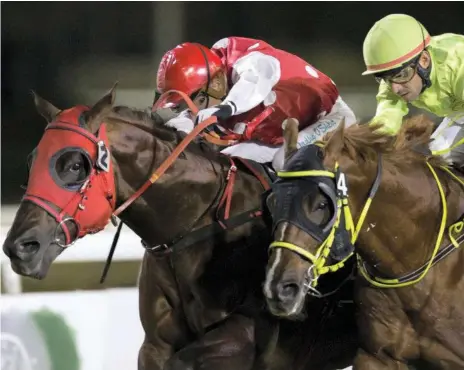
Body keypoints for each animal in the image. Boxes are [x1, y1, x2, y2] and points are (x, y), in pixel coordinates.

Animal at [2, 87, 356, 370]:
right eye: (33, 161)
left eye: (76, 165)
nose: (19, 247)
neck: (193, 229)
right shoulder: (154, 344)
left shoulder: (244, 335)